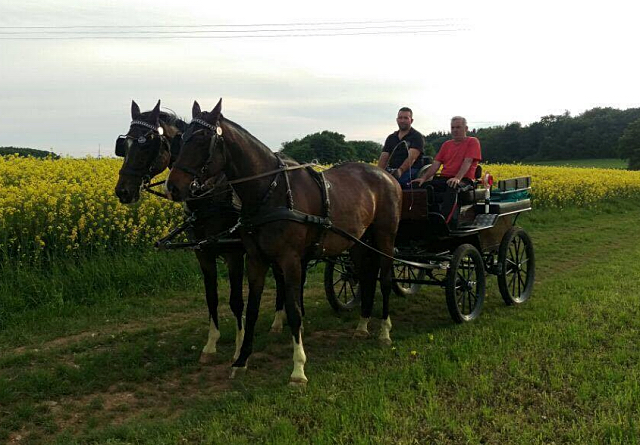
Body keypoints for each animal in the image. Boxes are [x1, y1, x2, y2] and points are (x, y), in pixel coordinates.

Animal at [114, 101, 286, 364]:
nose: (123, 191)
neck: (209, 194)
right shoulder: (203, 254)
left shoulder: (234, 255)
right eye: (125, 145)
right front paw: (210, 344)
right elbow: (211, 297)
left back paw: (278, 320)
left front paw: (239, 346)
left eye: (148, 144)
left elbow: (236, 301)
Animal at [164, 99, 400, 384]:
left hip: (385, 238)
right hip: (357, 242)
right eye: (181, 139)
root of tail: (387, 176)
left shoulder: (289, 261)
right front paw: (241, 360)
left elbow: (294, 309)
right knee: (366, 277)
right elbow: (252, 308)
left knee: (384, 279)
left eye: (200, 139)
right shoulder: (255, 259)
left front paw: (298, 369)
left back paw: (384, 331)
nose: (173, 187)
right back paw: (363, 325)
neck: (270, 191)